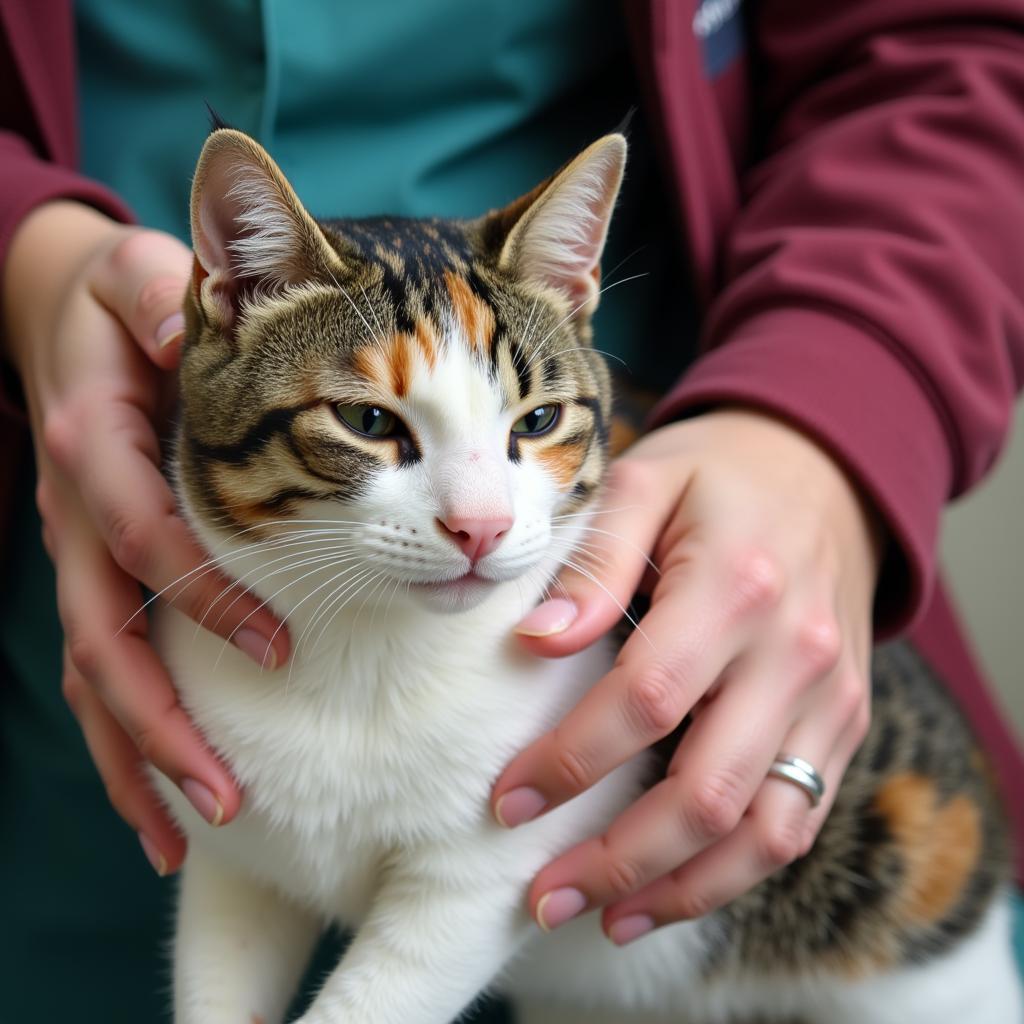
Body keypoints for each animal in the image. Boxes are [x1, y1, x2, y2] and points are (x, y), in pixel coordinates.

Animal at [151, 128, 1024, 1024]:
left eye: (538, 420)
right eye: (367, 421)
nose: (481, 526)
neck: (364, 658)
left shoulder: (486, 873)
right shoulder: (237, 853)